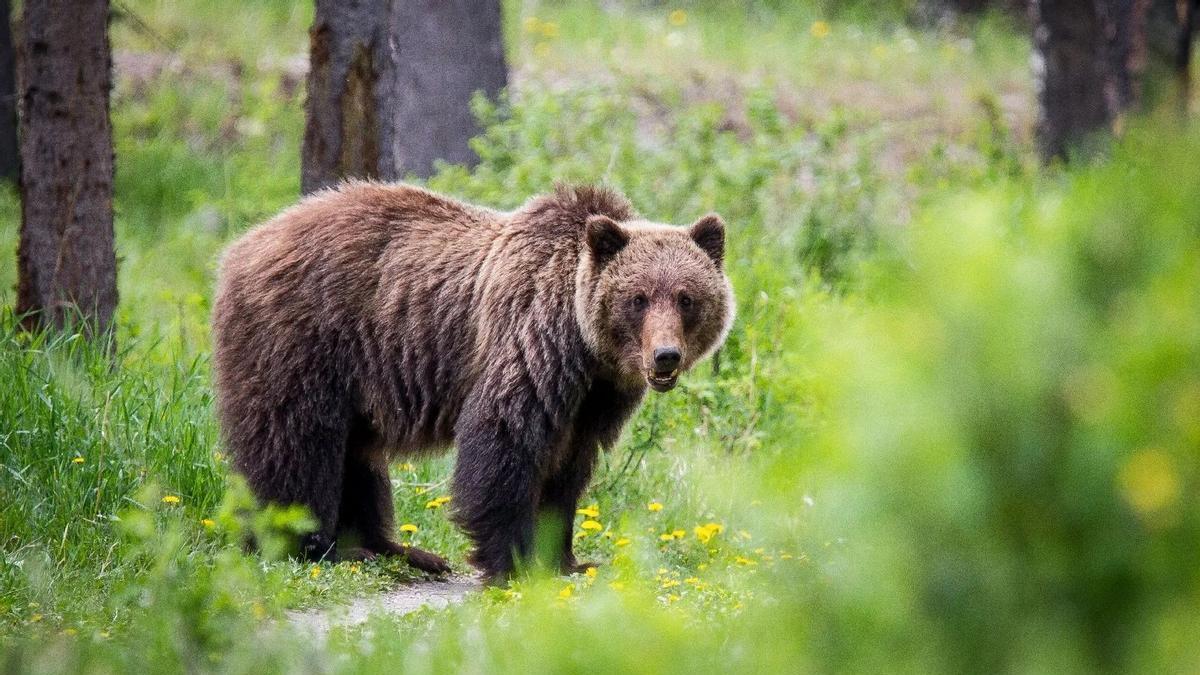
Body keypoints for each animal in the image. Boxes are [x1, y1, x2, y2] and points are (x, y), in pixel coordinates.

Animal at [211, 182, 734, 581]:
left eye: (686, 297)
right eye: (638, 298)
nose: (664, 356)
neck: (585, 346)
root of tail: (242, 245)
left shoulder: (593, 399)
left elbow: (567, 470)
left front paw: (569, 559)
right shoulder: (529, 343)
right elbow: (503, 442)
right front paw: (514, 561)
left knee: (358, 456)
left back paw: (400, 550)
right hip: (304, 339)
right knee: (297, 442)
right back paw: (308, 543)